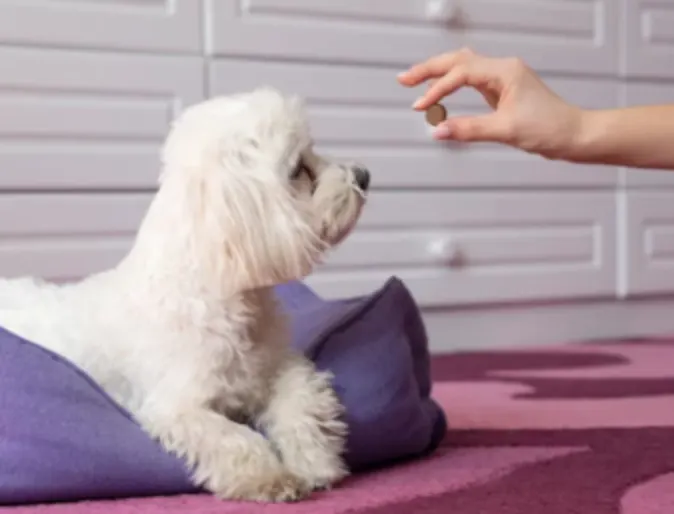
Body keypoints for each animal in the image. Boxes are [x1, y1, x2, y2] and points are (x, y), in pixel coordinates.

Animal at [0, 87, 368, 500]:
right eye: (298, 170)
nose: (364, 175)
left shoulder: (276, 366)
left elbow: (300, 397)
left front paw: (313, 459)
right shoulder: (177, 408)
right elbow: (233, 438)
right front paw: (270, 478)